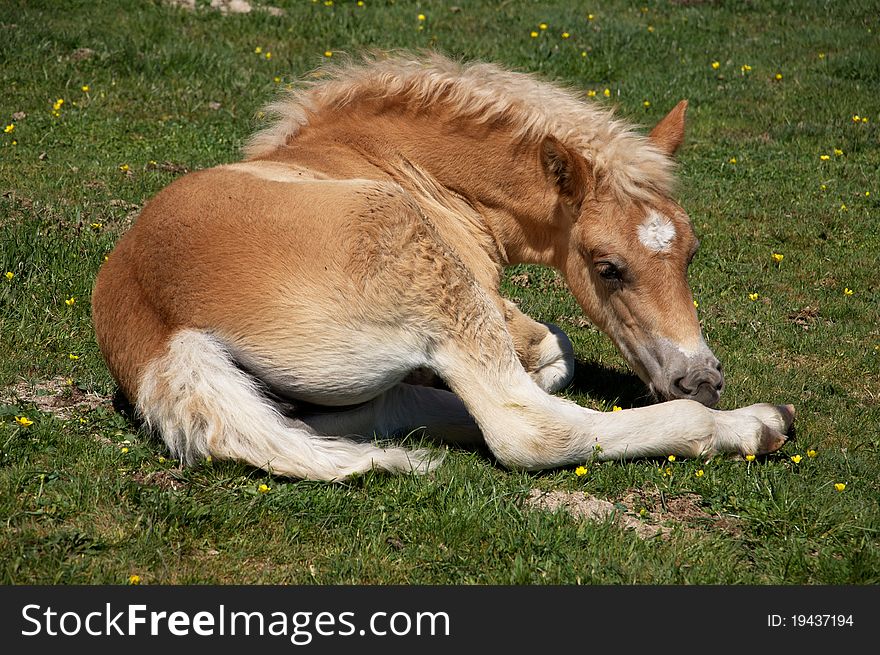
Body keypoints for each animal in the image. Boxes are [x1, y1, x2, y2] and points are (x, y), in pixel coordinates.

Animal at [93, 53, 796, 480]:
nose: (700, 379)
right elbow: (555, 352)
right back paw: (754, 425)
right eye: (608, 267)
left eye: (690, 250)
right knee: (526, 430)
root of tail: (159, 335)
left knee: (383, 411)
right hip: (422, 266)